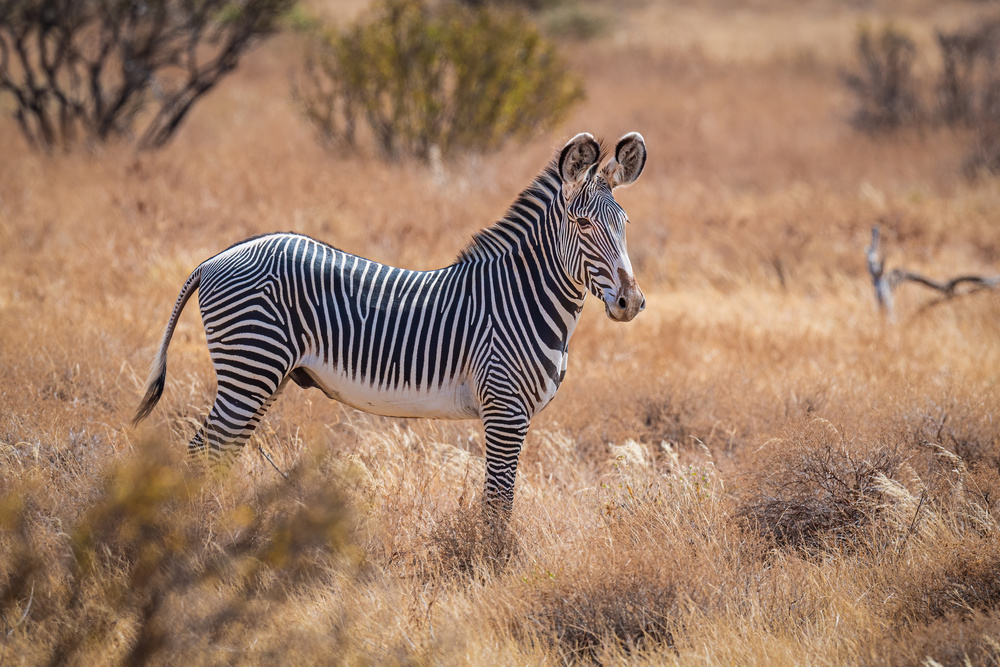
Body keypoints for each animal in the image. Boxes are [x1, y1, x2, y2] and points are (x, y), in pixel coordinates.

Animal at [133, 132, 648, 516]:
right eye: (582, 225)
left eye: (624, 223)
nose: (630, 302)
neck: (521, 298)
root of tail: (215, 258)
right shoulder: (505, 409)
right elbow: (498, 504)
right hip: (250, 368)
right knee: (204, 451)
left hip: (263, 376)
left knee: (218, 453)